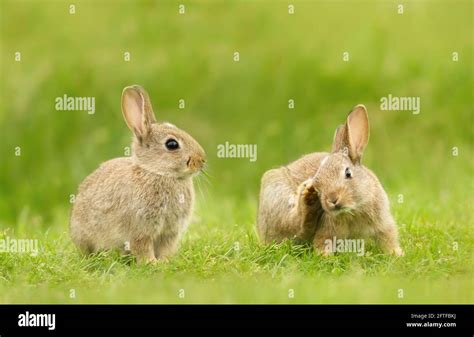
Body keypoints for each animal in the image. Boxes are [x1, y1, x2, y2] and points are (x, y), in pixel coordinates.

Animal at [70, 84, 206, 262]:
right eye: (172, 144)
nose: (202, 160)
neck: (157, 172)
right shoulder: (140, 229)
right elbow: (142, 247)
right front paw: (151, 263)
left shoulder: (170, 232)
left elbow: (167, 247)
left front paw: (166, 261)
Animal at [258, 104, 402, 255]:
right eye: (318, 184)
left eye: (348, 173)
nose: (333, 200)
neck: (353, 210)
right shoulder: (326, 230)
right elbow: (322, 242)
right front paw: (324, 256)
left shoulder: (383, 223)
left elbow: (388, 238)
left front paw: (397, 254)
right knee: (295, 226)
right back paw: (307, 200)